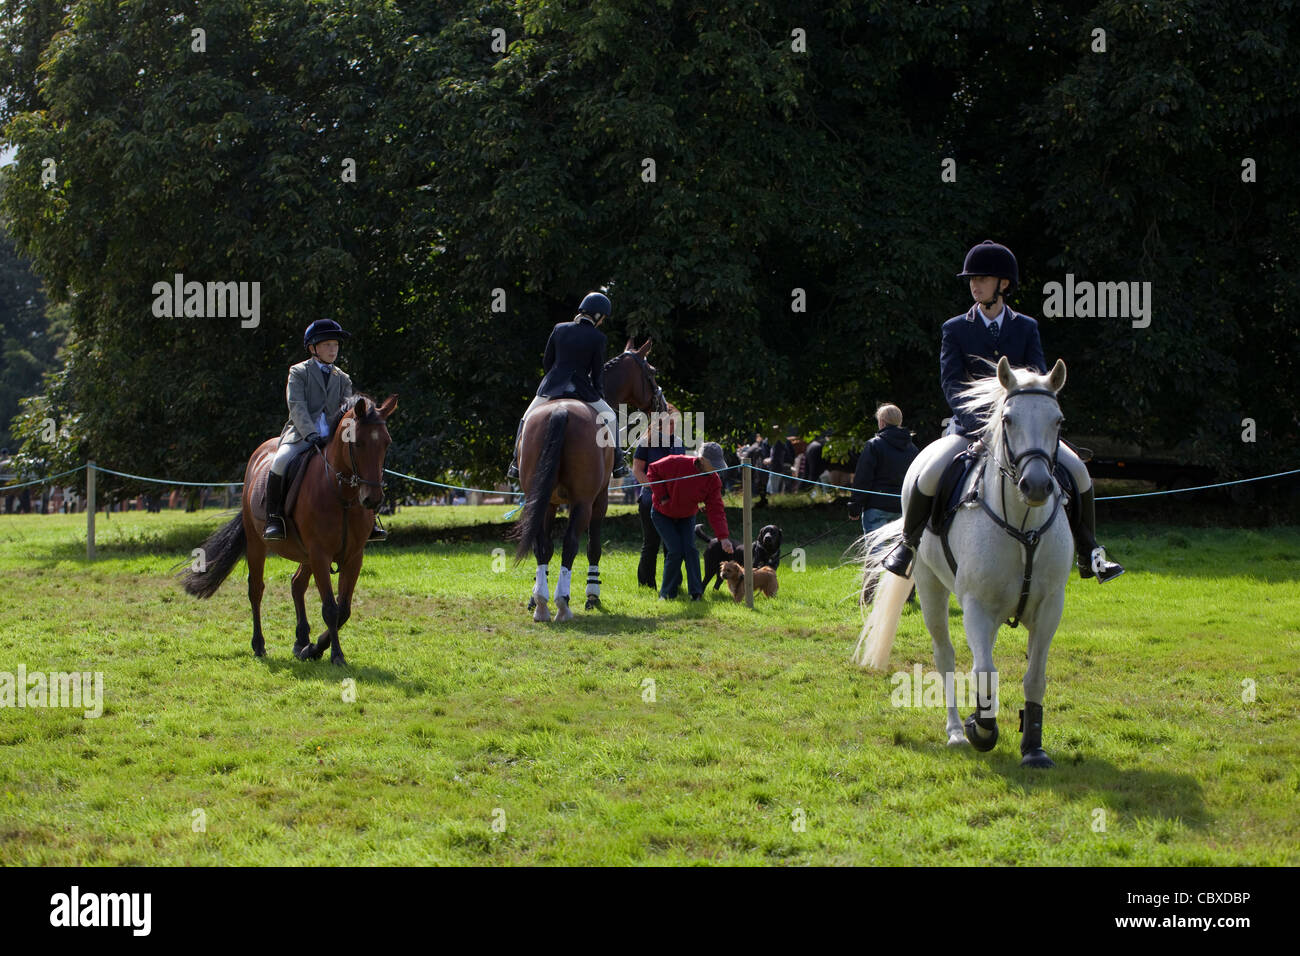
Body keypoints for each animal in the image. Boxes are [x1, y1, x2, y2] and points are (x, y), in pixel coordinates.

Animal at [182, 395, 395, 665]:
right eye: (357, 442)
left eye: (386, 443)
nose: (373, 499)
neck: (341, 494)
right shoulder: (320, 554)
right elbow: (330, 609)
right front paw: (335, 655)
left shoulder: (353, 556)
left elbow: (343, 609)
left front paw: (313, 649)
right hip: (258, 544)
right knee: (256, 589)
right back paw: (259, 645)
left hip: (306, 555)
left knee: (296, 584)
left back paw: (301, 641)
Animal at [512, 340, 665, 624]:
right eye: (652, 371)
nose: (661, 404)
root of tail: (560, 410)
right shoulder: (600, 498)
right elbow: (594, 547)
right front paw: (592, 595)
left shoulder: (550, 502)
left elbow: (545, 547)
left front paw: (535, 597)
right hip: (583, 502)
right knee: (571, 543)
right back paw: (562, 605)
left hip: (539, 497)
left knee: (542, 545)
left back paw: (542, 606)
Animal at [847, 358, 1071, 770]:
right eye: (1008, 419)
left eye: (1058, 421)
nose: (1035, 486)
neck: (1023, 527)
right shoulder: (976, 606)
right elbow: (983, 670)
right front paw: (979, 730)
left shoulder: (1050, 607)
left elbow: (1034, 676)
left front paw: (1033, 748)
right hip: (931, 588)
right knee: (946, 655)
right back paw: (954, 731)